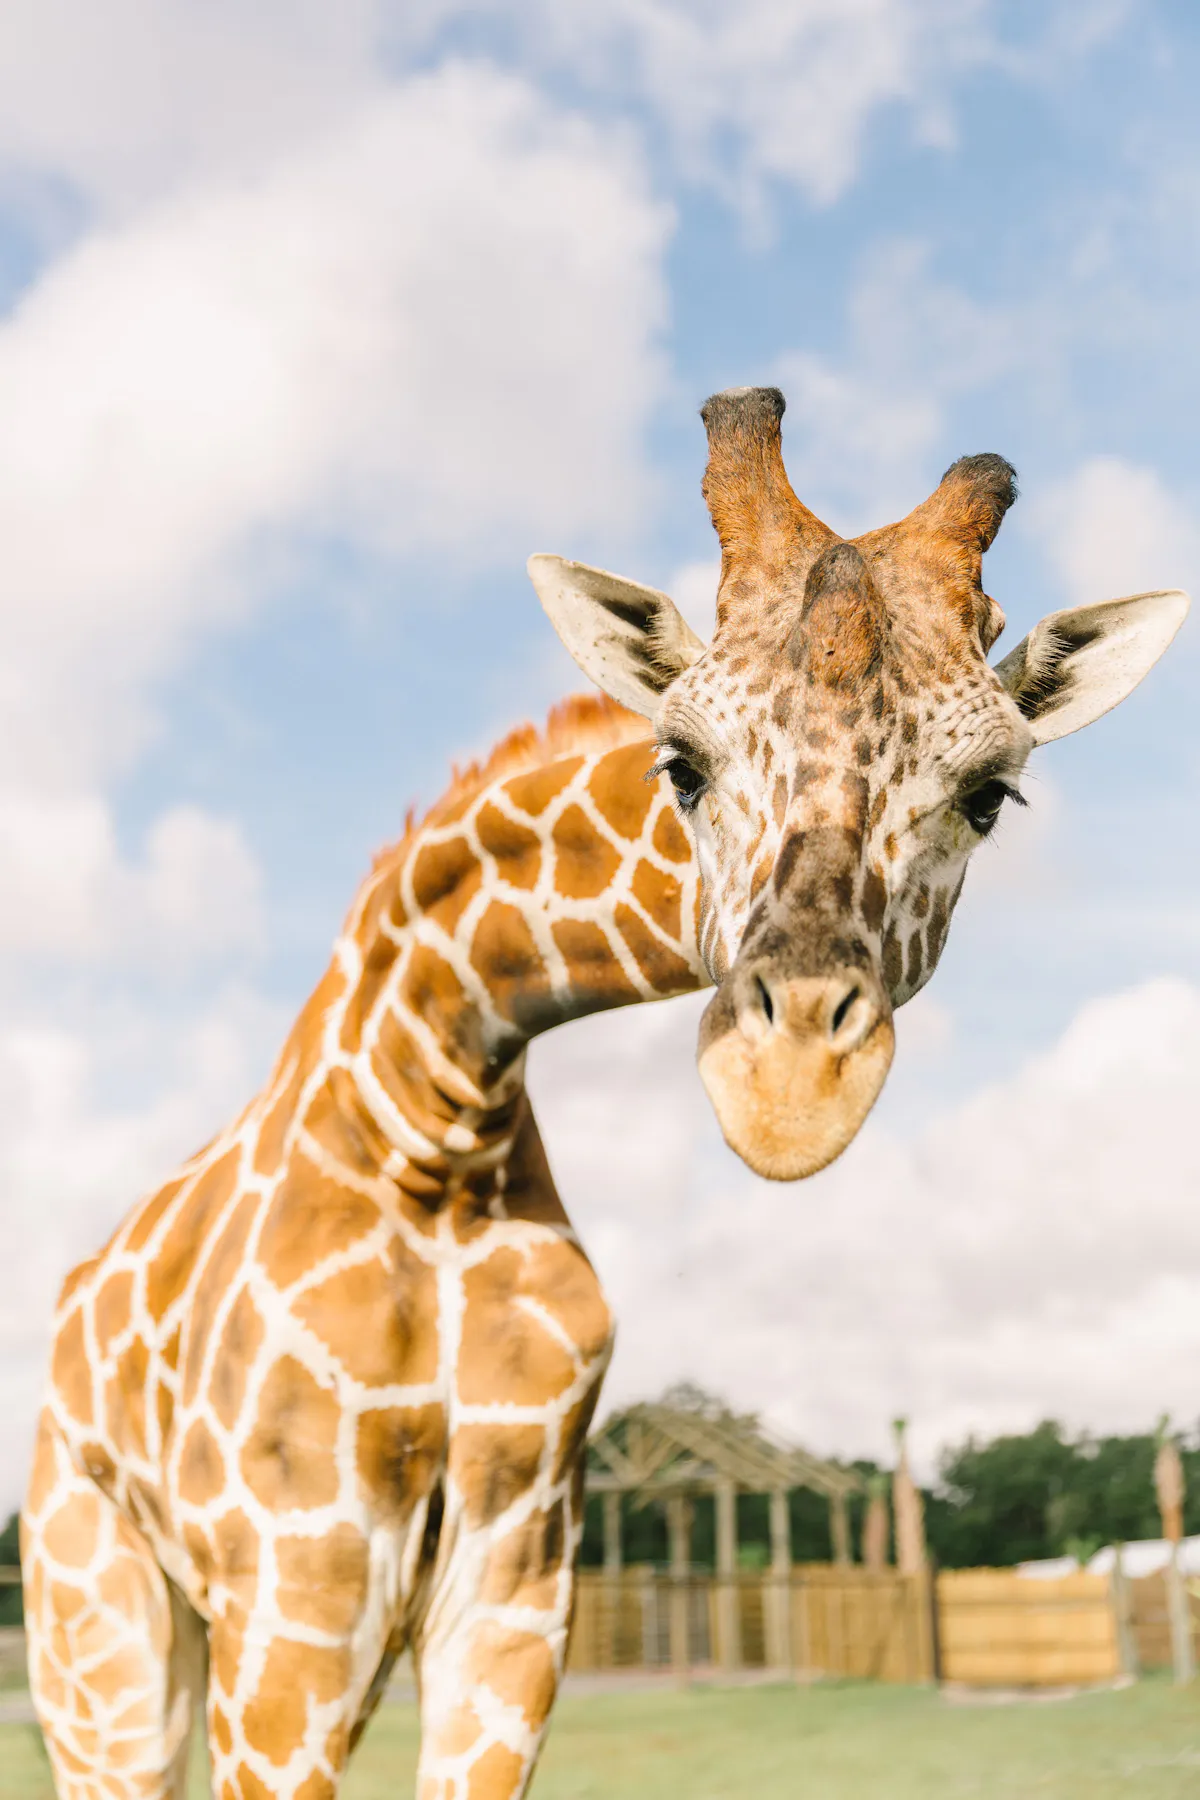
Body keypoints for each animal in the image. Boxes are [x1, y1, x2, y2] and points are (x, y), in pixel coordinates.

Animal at [22, 383, 1185, 1800]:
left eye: (990, 795)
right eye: (679, 763)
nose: (788, 1091)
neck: (430, 1115)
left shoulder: (515, 1586)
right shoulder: (292, 1581)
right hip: (98, 1617)